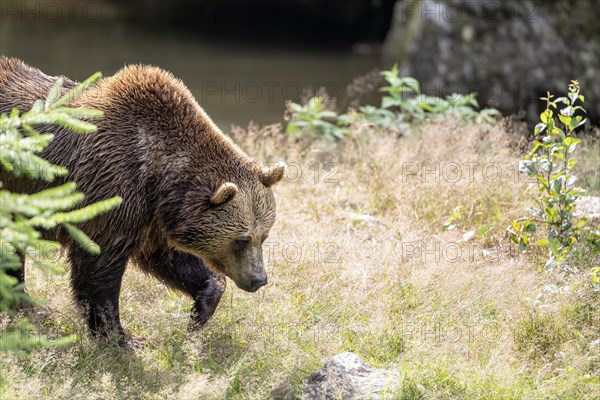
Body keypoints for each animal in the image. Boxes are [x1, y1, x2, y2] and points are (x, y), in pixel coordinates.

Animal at [0, 56, 286, 344]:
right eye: (242, 239)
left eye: (264, 236)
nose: (259, 279)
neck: (157, 178)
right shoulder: (110, 187)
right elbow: (98, 268)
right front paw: (120, 336)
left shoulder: (152, 217)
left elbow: (170, 259)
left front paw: (201, 309)